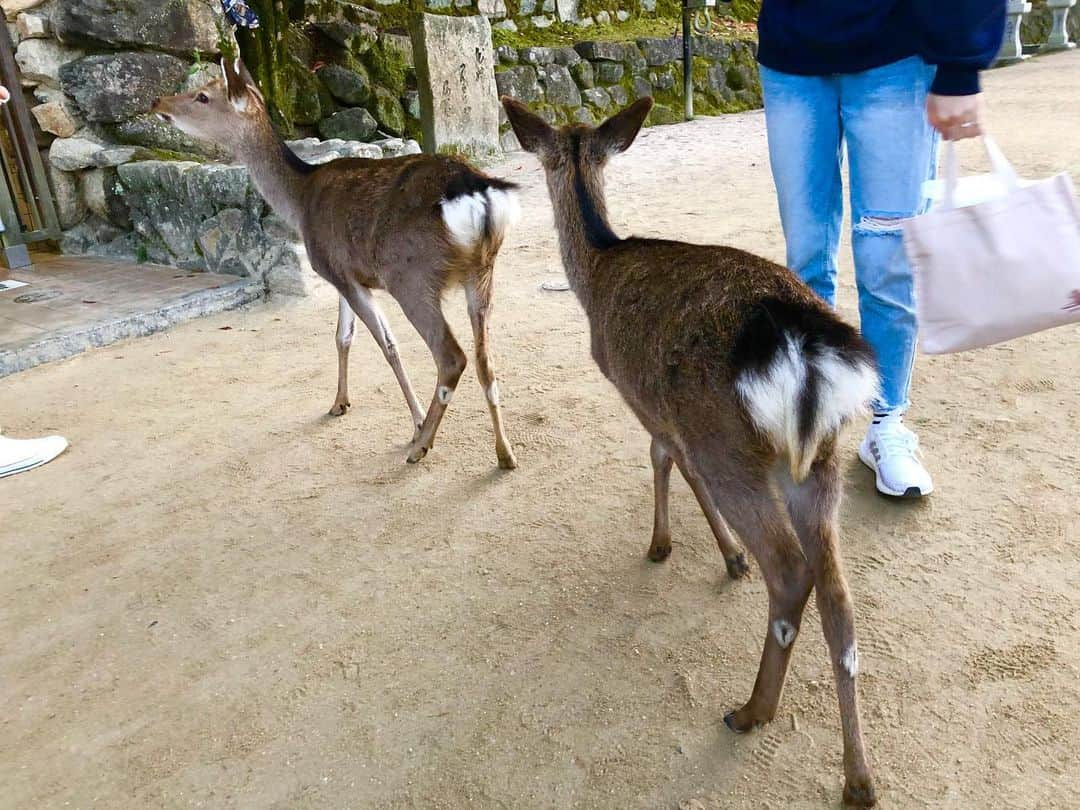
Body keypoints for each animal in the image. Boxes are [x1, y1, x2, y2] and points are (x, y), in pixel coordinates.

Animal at [151, 58, 518, 468]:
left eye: (202, 95)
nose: (157, 101)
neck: (299, 200)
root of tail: (476, 192)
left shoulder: (338, 272)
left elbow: (387, 344)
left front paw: (416, 421)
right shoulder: (342, 275)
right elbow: (343, 337)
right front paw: (339, 403)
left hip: (411, 277)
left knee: (452, 356)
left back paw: (422, 445)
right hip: (482, 274)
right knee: (486, 362)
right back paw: (505, 453)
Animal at [501, 98, 881, 807]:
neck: (598, 268)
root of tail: (806, 349)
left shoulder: (641, 395)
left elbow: (661, 459)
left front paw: (676, 548)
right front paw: (715, 555)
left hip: (730, 445)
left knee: (790, 572)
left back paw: (751, 710)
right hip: (821, 459)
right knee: (839, 601)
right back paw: (859, 780)